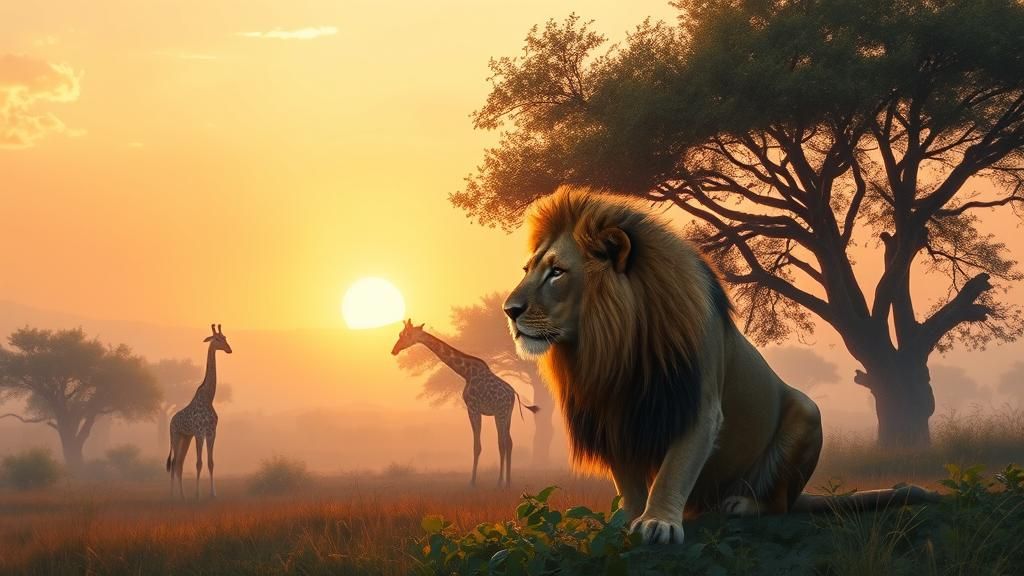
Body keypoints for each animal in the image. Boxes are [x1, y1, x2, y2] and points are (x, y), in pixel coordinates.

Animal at [166, 324, 232, 499]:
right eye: (217, 339)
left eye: (225, 338)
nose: (229, 349)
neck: (209, 397)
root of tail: (171, 420)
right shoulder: (199, 433)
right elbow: (199, 463)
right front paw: (197, 494)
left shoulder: (211, 433)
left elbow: (210, 463)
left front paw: (213, 493)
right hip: (176, 436)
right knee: (173, 462)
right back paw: (172, 495)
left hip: (185, 437)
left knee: (179, 464)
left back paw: (182, 496)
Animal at [392, 319, 539, 487]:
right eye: (400, 334)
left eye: (406, 335)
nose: (394, 350)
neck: (466, 373)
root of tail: (513, 394)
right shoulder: (478, 410)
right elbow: (483, 444)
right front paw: (476, 480)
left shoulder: (473, 408)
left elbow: (477, 446)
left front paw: (472, 481)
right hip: (506, 414)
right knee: (508, 442)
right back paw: (507, 482)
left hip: (500, 413)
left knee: (503, 443)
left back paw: (500, 481)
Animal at [504, 186, 936, 545]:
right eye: (526, 271)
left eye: (557, 272)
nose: (509, 310)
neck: (614, 346)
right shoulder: (612, 414)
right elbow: (628, 482)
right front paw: (629, 519)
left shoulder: (698, 403)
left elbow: (673, 470)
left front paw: (658, 522)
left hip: (807, 413)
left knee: (779, 503)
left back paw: (743, 503)